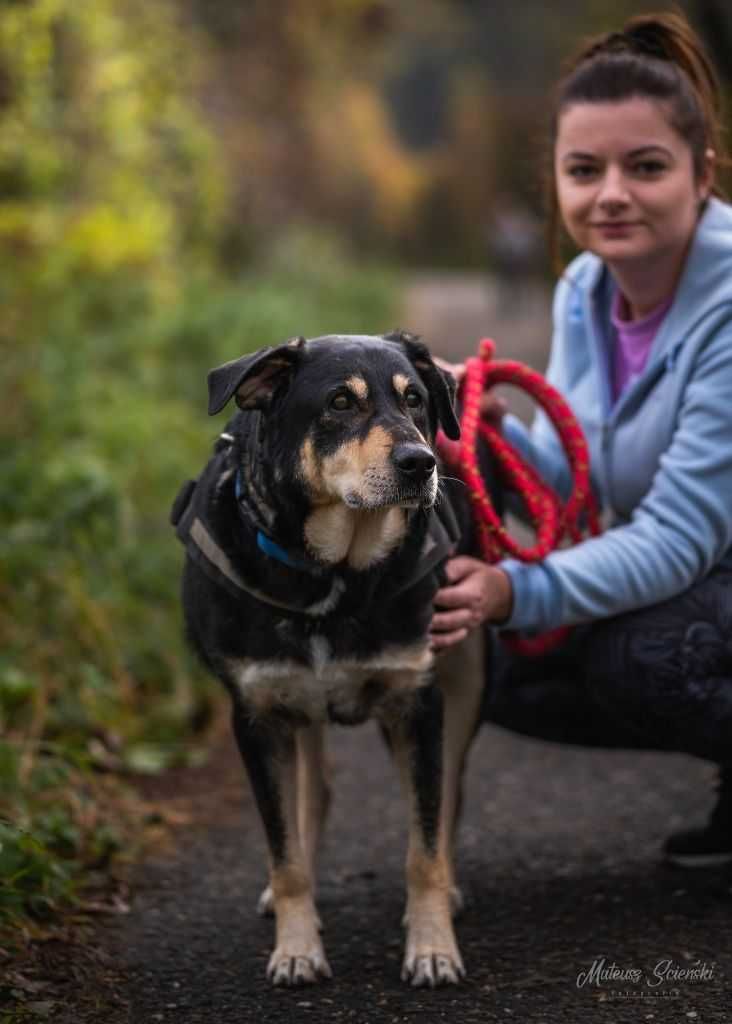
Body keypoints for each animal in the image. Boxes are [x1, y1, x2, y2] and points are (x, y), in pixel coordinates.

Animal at [173, 327, 487, 983]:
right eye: (340, 403)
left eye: (415, 400)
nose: (421, 462)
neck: (330, 575)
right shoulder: (256, 715)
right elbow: (284, 849)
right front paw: (296, 948)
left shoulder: (417, 702)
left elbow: (423, 846)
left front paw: (432, 948)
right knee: (312, 791)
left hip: (466, 675)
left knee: (447, 795)